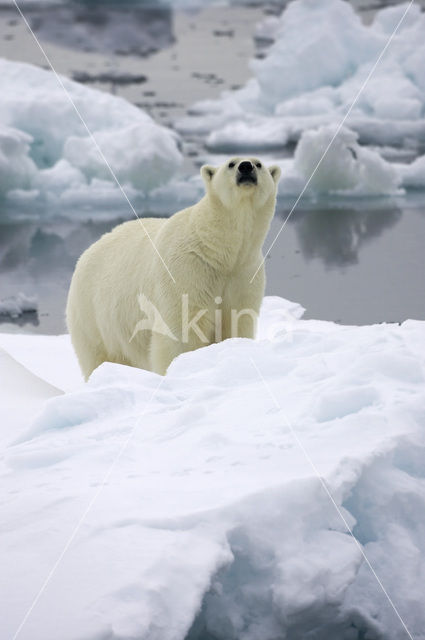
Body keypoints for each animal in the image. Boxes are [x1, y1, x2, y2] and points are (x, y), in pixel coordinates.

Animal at [67, 158, 282, 378]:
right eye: (231, 164)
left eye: (259, 164)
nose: (246, 167)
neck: (219, 250)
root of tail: (87, 252)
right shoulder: (187, 269)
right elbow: (182, 328)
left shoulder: (244, 272)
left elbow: (237, 319)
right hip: (92, 317)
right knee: (98, 355)